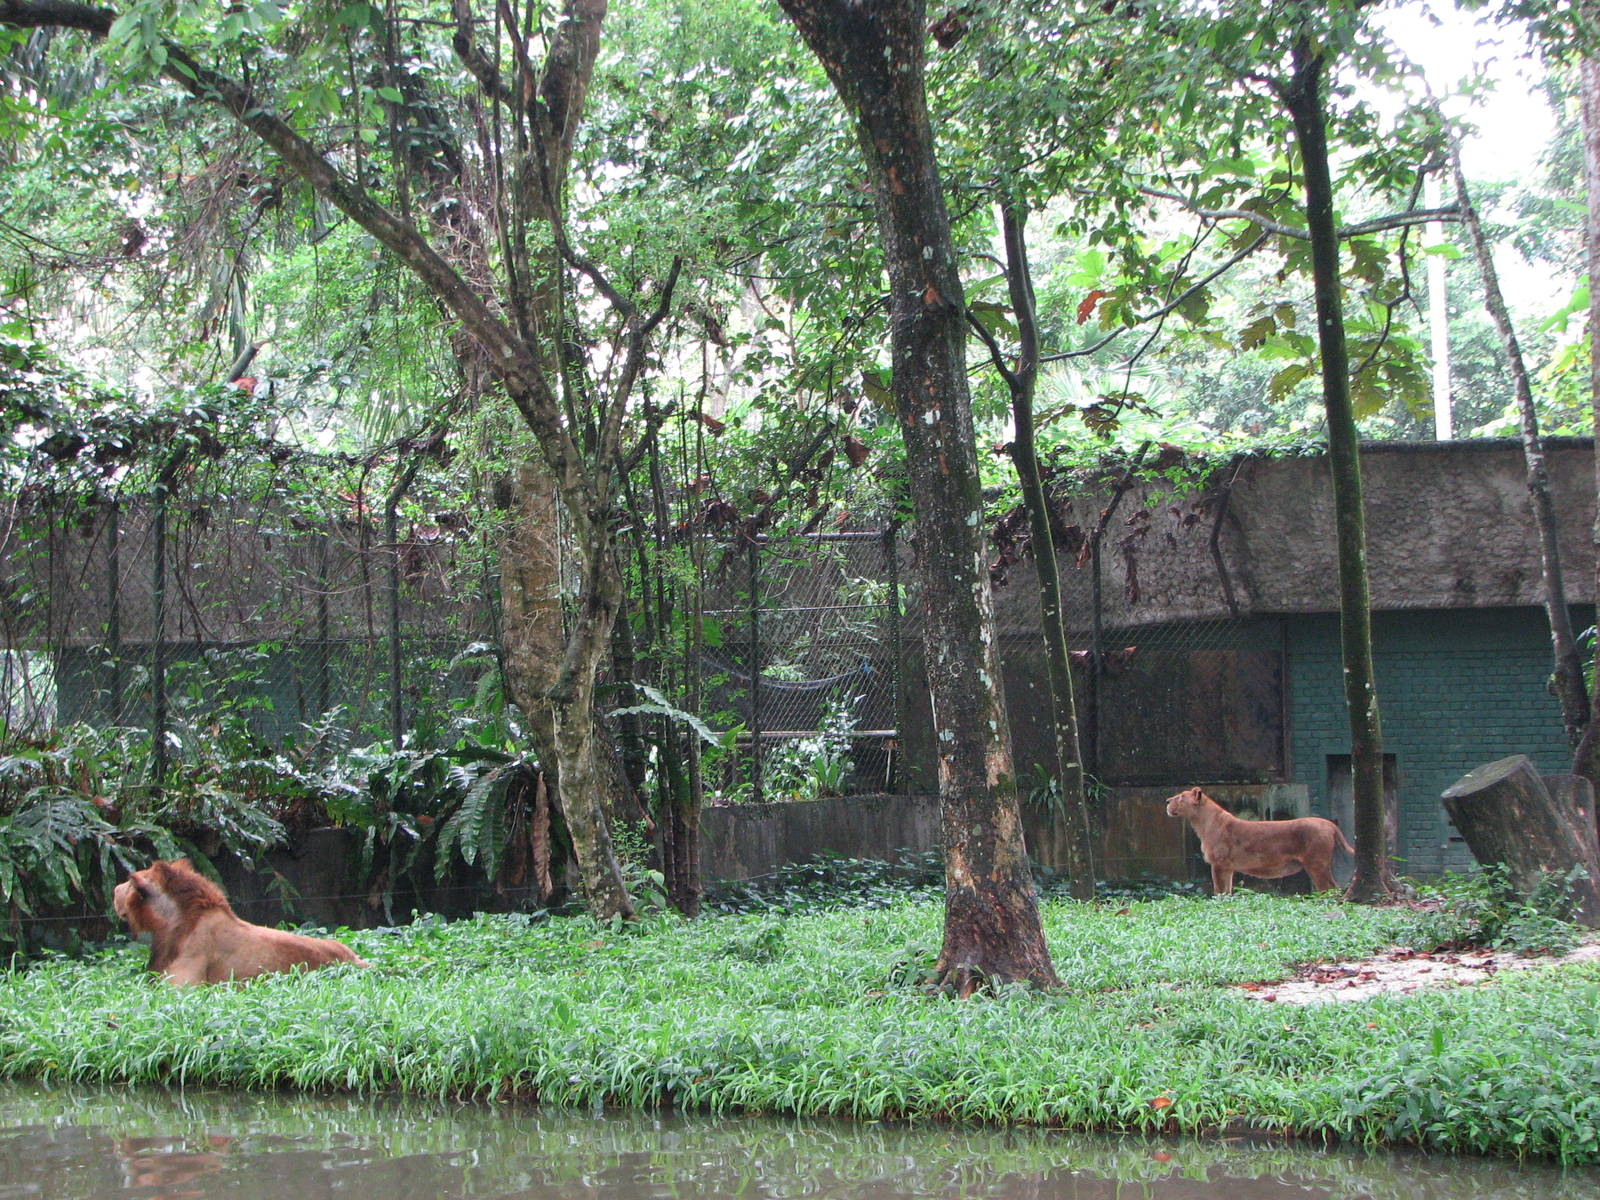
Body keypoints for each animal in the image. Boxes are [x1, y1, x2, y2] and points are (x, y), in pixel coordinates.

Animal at [1164, 787, 1354, 895]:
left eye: (1180, 797)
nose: (1166, 801)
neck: (1202, 822)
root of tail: (1329, 823)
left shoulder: (1218, 864)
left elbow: (1219, 891)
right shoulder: (1228, 867)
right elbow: (1227, 891)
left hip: (1317, 864)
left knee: (1330, 889)